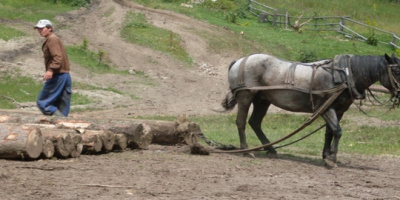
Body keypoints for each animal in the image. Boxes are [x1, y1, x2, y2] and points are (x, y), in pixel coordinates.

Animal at [222, 53, 400, 167]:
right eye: (396, 70)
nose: (399, 93)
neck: (343, 76)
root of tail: (239, 61)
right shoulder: (326, 107)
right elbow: (337, 131)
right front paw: (331, 159)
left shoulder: (339, 110)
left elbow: (330, 132)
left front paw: (326, 155)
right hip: (246, 97)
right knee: (241, 122)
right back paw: (246, 150)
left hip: (262, 100)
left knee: (255, 122)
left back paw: (270, 149)